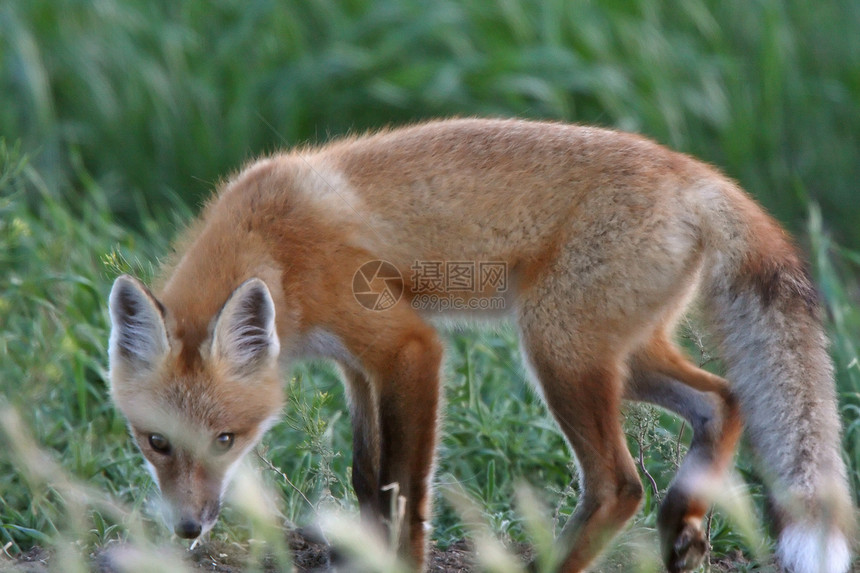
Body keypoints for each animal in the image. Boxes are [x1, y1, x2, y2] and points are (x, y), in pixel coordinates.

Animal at [107, 118, 852, 568]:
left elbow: (406, 490)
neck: (273, 244)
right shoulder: (358, 366)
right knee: (724, 400)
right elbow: (368, 478)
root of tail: (698, 176)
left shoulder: (409, 347)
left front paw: (400, 562)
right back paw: (685, 522)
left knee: (618, 484)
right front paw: (364, 552)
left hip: (559, 350)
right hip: (621, 355)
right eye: (157, 442)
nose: (188, 528)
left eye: (226, 439)